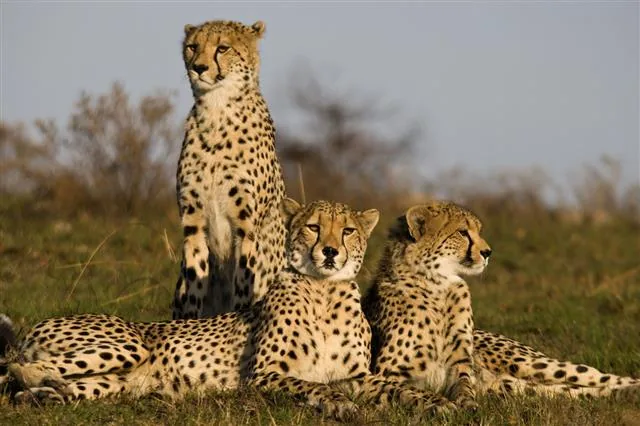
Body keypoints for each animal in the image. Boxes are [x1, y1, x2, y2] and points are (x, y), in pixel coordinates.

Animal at [0, 200, 454, 419]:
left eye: (347, 231)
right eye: (312, 227)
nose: (329, 251)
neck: (324, 294)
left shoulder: (358, 375)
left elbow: (398, 387)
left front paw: (440, 404)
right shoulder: (263, 375)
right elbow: (313, 385)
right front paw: (337, 403)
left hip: (117, 383)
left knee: (45, 386)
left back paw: (42, 398)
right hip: (130, 345)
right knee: (20, 368)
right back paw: (36, 383)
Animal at [173, 19, 287, 319]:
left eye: (223, 48)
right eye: (192, 46)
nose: (198, 68)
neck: (216, 112)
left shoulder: (246, 227)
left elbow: (244, 284)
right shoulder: (193, 224)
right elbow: (194, 281)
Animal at [363, 200, 639, 408]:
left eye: (478, 230)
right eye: (462, 232)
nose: (488, 252)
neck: (437, 284)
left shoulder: (460, 366)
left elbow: (465, 386)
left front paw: (467, 405)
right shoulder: (387, 373)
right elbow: (411, 390)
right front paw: (441, 405)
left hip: (529, 364)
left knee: (594, 375)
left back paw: (631, 388)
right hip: (516, 387)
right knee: (573, 391)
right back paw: (622, 395)